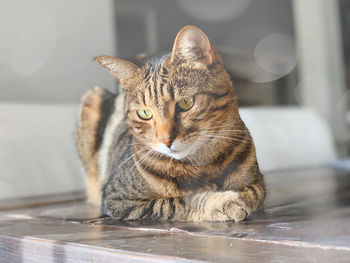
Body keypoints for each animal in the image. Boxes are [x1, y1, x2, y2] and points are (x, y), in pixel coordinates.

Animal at [75, 25, 264, 223]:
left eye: (186, 103)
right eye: (145, 113)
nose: (166, 140)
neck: (203, 164)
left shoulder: (258, 182)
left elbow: (252, 193)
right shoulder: (119, 200)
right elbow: (179, 201)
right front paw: (220, 202)